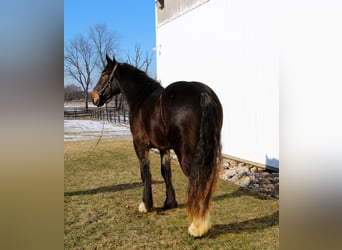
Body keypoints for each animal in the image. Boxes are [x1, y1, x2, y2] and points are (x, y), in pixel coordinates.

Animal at [92, 54, 223, 236]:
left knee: (197, 180)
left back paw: (197, 227)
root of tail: (202, 93)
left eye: (104, 74)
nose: (94, 97)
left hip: (188, 155)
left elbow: (145, 173)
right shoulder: (164, 148)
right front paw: (170, 203)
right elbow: (166, 173)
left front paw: (145, 204)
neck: (141, 98)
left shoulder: (140, 146)